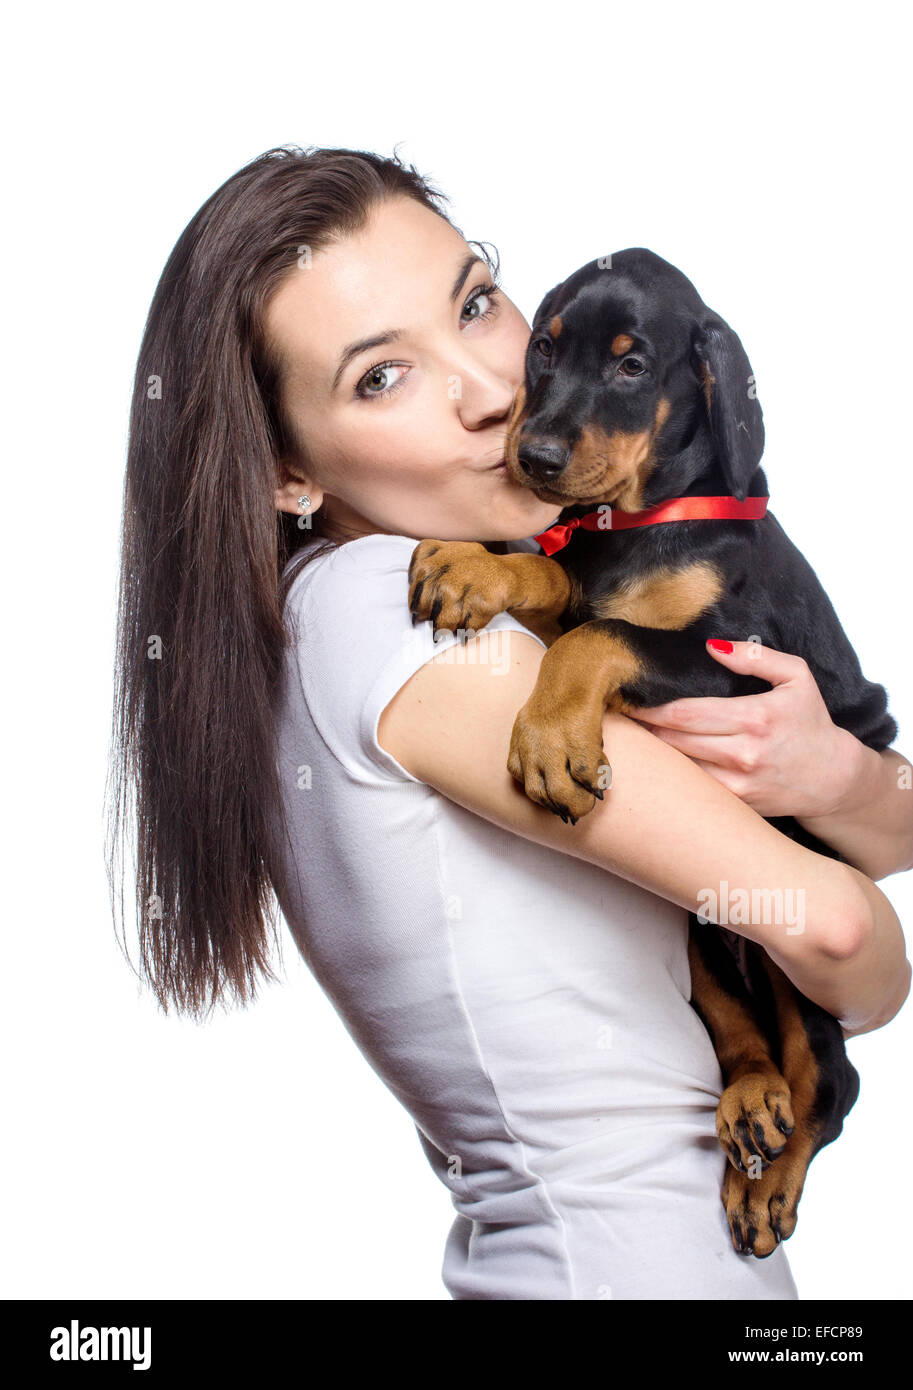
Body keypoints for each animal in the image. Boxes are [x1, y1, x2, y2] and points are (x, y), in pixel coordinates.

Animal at [408, 250, 894, 1262]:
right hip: (702, 930)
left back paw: (769, 1180)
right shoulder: (578, 585)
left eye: (632, 366)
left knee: (827, 1079)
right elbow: (558, 580)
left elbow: (606, 638)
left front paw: (550, 741)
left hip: (792, 913)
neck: (640, 522)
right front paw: (476, 563)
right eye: (542, 350)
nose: (534, 458)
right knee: (745, 1038)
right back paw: (749, 1101)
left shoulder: (744, 674)